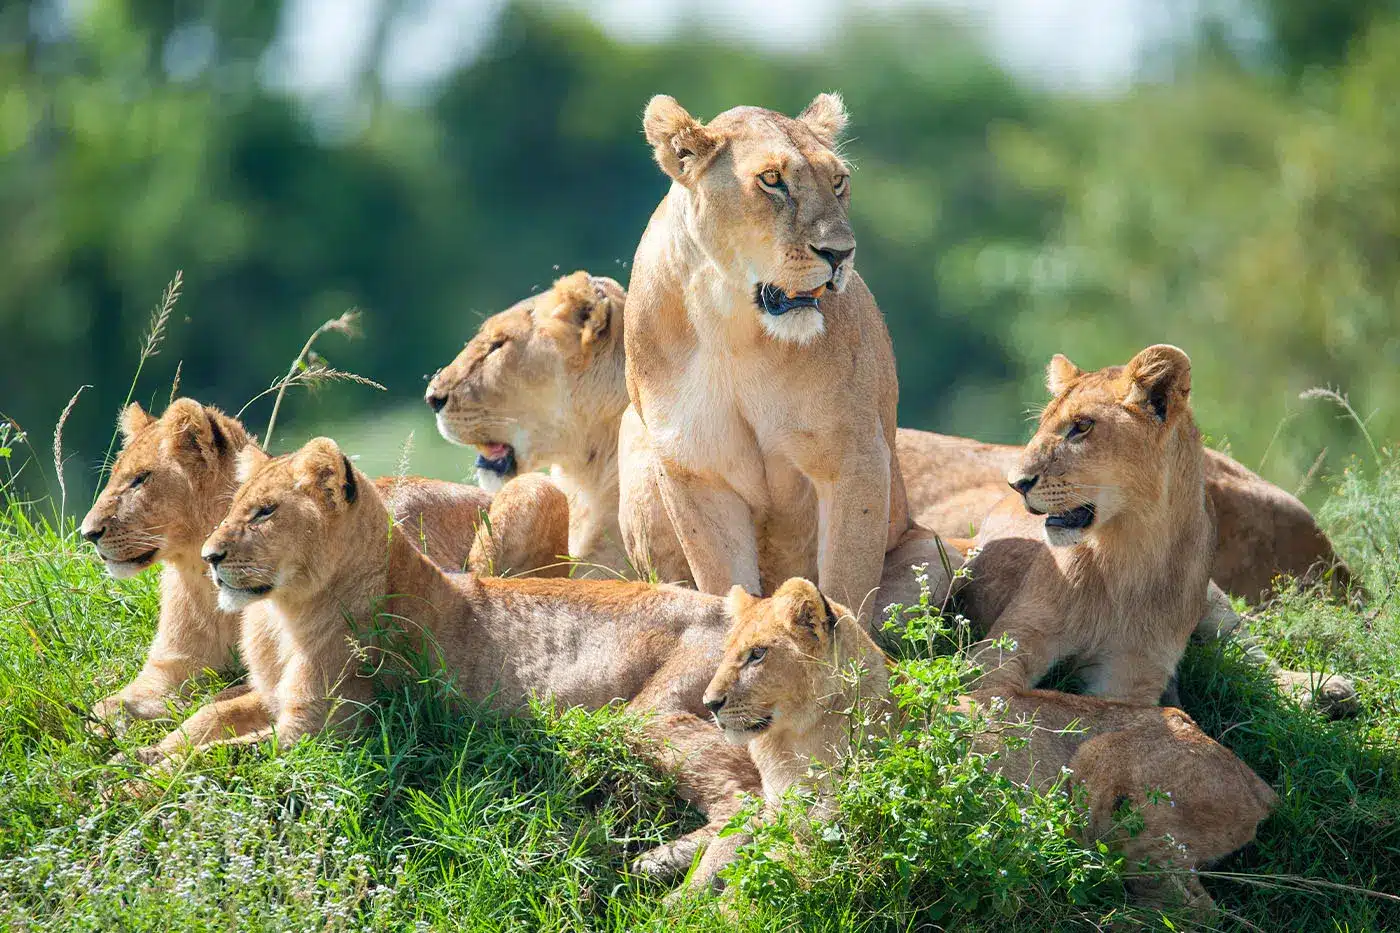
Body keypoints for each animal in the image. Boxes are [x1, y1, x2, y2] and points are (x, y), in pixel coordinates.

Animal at [79, 399, 561, 729]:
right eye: (116, 475)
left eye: (141, 480)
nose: (87, 532)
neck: (197, 574)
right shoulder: (171, 668)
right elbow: (106, 707)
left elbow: (211, 704)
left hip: (533, 490)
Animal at [126, 436, 762, 893]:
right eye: (233, 509)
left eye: (264, 513)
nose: (210, 556)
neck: (285, 615)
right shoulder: (273, 699)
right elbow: (205, 721)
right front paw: (141, 754)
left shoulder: (318, 737)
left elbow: (222, 759)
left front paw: (132, 784)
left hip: (649, 713)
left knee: (752, 799)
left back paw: (681, 883)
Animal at [702, 578, 1277, 911]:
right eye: (729, 651)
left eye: (757, 655)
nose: (709, 703)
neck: (787, 741)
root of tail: (1261, 785)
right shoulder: (780, 810)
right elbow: (731, 847)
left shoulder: (845, 824)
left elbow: (771, 872)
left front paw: (725, 909)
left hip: (1103, 767)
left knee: (1193, 909)